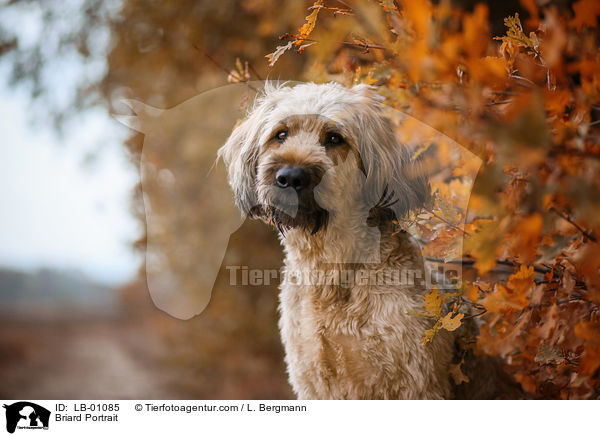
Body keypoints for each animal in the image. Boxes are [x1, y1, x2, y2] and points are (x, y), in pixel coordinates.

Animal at [220, 82, 454, 398]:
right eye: (281, 134)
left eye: (334, 138)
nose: (290, 177)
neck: (331, 272)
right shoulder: (311, 378)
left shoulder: (415, 382)